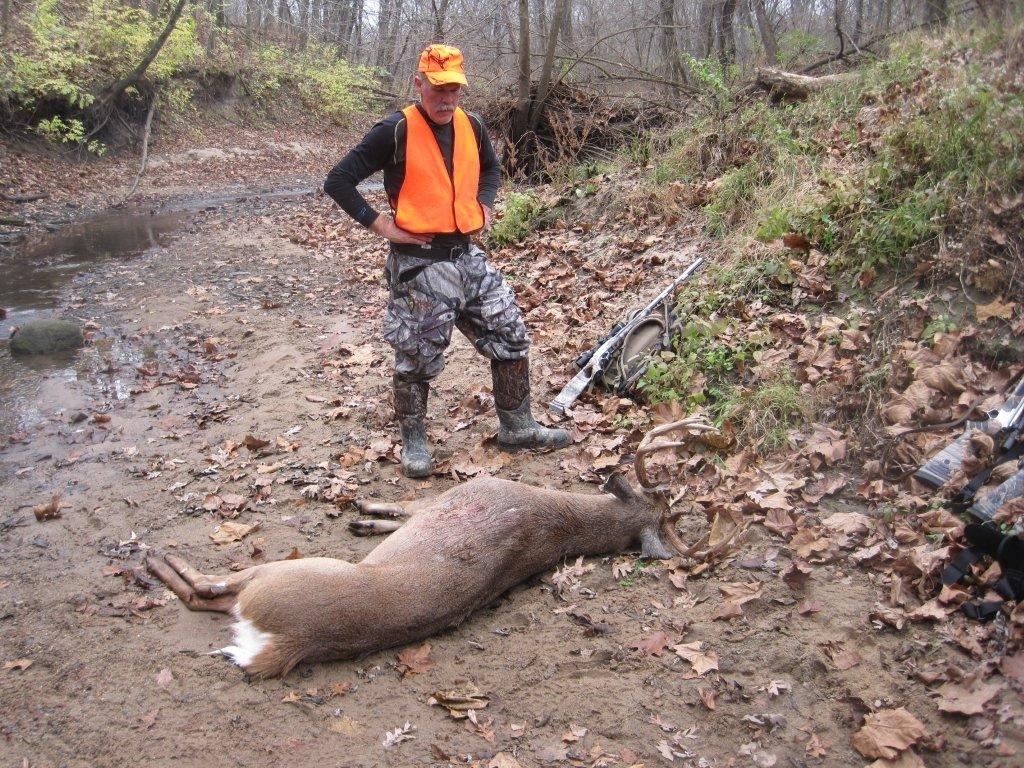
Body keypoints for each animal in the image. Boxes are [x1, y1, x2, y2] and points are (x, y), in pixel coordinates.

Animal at [148, 417, 720, 675]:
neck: (557, 523)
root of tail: (287, 644)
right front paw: (366, 519)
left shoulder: (460, 494)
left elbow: (406, 505)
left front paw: (366, 510)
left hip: (281, 573)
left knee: (206, 588)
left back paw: (153, 557)